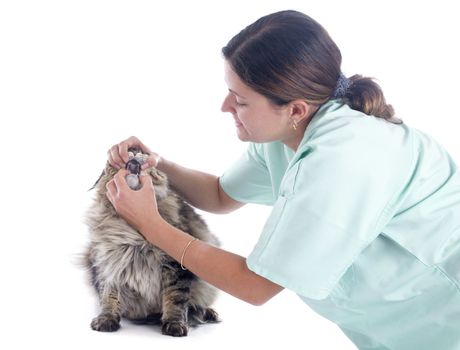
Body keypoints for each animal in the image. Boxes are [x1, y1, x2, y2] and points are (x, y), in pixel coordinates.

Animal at [83, 148, 220, 336]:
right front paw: (106, 319)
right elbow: (108, 295)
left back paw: (208, 313)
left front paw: (174, 324)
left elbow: (176, 297)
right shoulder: (108, 263)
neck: (131, 229)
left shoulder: (175, 265)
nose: (132, 153)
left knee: (196, 304)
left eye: (142, 153)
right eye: (127, 153)